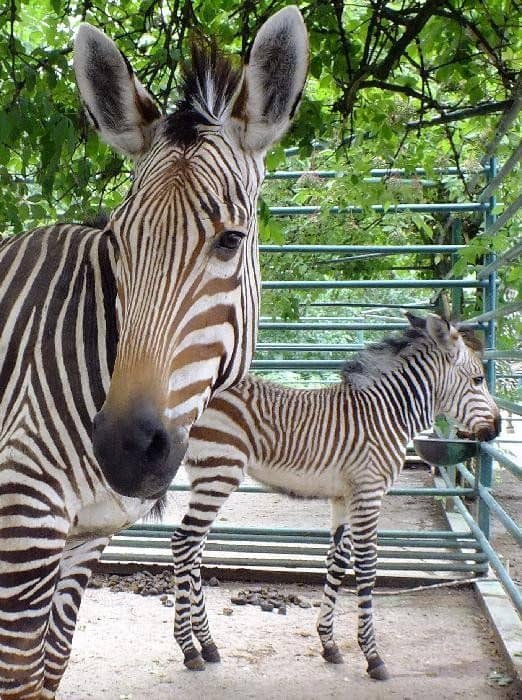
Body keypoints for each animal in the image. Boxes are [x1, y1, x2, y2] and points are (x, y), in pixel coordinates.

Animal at [0, 8, 306, 696]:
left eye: (230, 241)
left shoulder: (86, 536)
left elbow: (50, 667)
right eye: (117, 242)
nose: (121, 450)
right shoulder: (21, 519)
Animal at [173, 314, 498, 680]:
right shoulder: (369, 493)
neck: (388, 414)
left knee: (195, 548)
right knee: (184, 542)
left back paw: (207, 644)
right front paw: (373, 656)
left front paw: (328, 643)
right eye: (478, 379)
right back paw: (189, 649)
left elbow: (337, 561)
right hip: (220, 470)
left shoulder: (345, 497)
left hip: (207, 475)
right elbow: (367, 565)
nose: (498, 428)